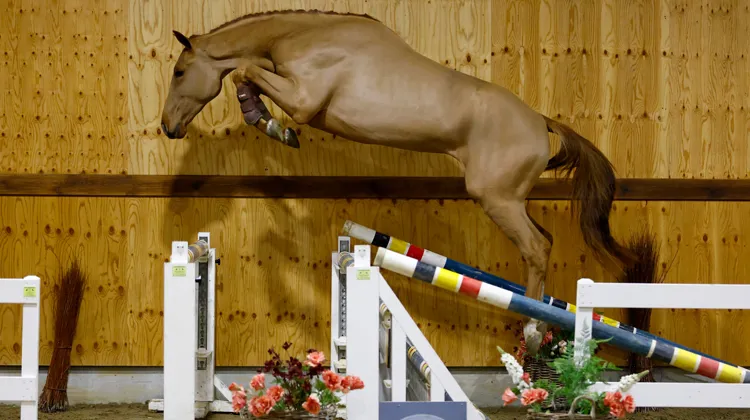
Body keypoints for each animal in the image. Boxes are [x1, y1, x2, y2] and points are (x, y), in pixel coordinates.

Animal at [159, 9, 635, 353]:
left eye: (180, 72)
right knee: (545, 241)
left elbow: (245, 71)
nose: (167, 127)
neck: (301, 37)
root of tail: (540, 122)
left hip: (495, 198)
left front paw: (274, 127)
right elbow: (248, 73)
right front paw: (270, 125)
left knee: (536, 248)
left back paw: (534, 331)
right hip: (511, 200)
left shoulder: (303, 99)